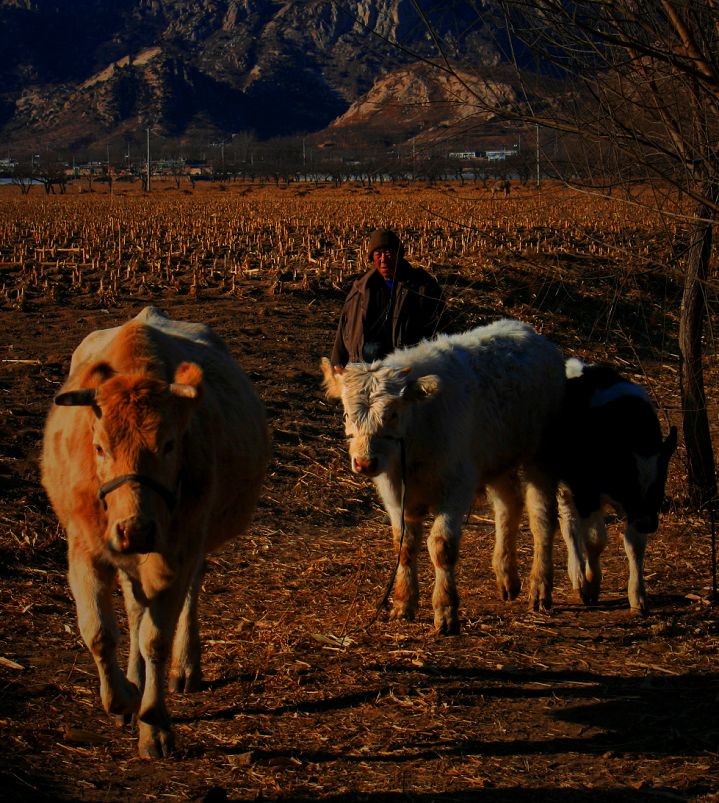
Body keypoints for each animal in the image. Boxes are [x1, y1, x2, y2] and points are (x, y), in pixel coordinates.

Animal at [43, 304, 272, 756]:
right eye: (99, 447)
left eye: (168, 445)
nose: (136, 530)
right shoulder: (84, 549)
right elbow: (99, 631)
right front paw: (123, 698)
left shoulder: (176, 552)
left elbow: (156, 640)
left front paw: (155, 724)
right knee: (134, 608)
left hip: (193, 545)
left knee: (187, 596)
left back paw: (185, 668)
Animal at [322, 318, 568, 632]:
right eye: (346, 414)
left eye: (392, 414)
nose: (364, 463)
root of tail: (526, 330)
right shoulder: (394, 495)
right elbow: (405, 545)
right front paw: (403, 604)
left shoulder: (457, 487)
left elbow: (441, 546)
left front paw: (446, 610)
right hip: (496, 461)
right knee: (508, 507)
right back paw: (506, 577)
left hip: (540, 457)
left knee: (541, 520)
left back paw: (539, 589)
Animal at [556, 360, 676, 616]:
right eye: (630, 486)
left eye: (659, 487)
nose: (648, 524)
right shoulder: (586, 491)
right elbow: (595, 540)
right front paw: (590, 584)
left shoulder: (638, 511)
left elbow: (635, 545)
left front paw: (638, 596)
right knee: (569, 524)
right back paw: (577, 574)